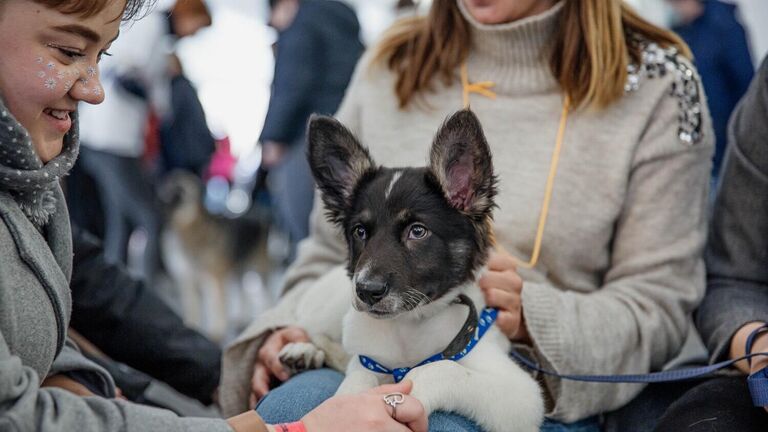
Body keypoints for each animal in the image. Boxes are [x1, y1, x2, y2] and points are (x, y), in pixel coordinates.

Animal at [284, 111, 544, 432]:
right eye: (360, 232)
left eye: (417, 231)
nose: (366, 291)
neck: (408, 325)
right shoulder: (367, 357)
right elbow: (357, 378)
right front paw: (346, 408)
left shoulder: (519, 393)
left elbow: (443, 368)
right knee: (307, 325)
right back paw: (303, 349)